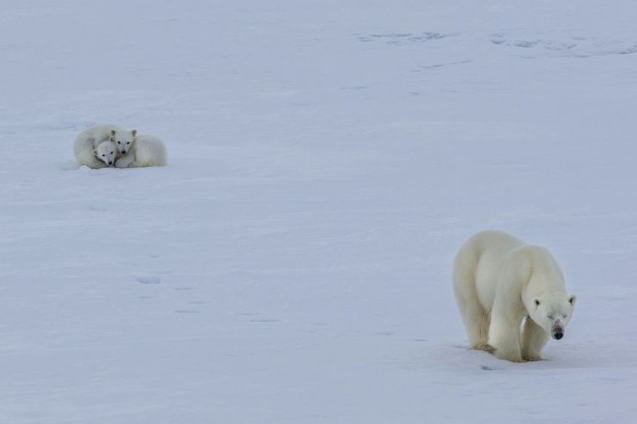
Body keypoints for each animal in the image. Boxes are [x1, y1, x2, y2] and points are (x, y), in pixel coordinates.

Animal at [452, 230, 576, 362]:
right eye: (549, 316)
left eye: (565, 315)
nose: (558, 333)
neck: (538, 266)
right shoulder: (513, 284)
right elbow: (507, 319)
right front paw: (513, 358)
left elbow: (536, 326)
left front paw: (533, 357)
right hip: (470, 273)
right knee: (474, 311)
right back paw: (483, 345)